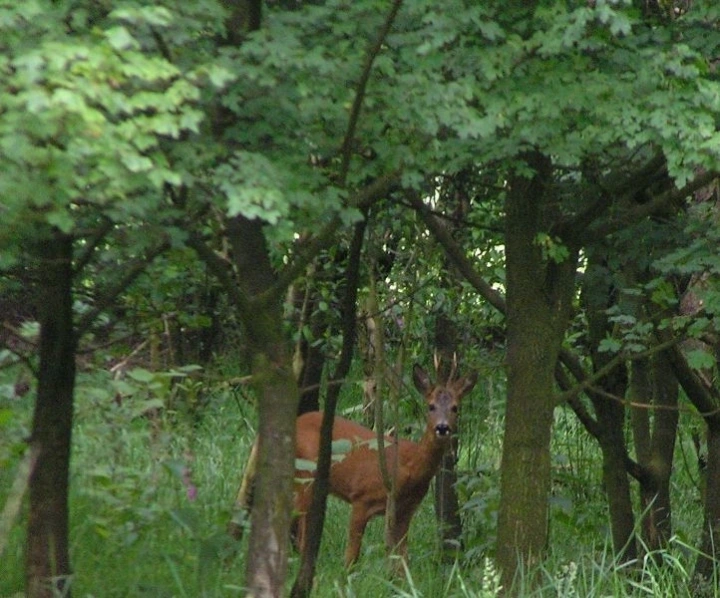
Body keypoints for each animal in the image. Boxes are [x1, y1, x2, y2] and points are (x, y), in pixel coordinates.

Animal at [294, 364, 478, 568]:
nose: (442, 427)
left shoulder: (406, 510)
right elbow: (352, 556)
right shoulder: (361, 496)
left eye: (455, 407)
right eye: (431, 406)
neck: (408, 468)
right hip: (306, 475)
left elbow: (402, 557)